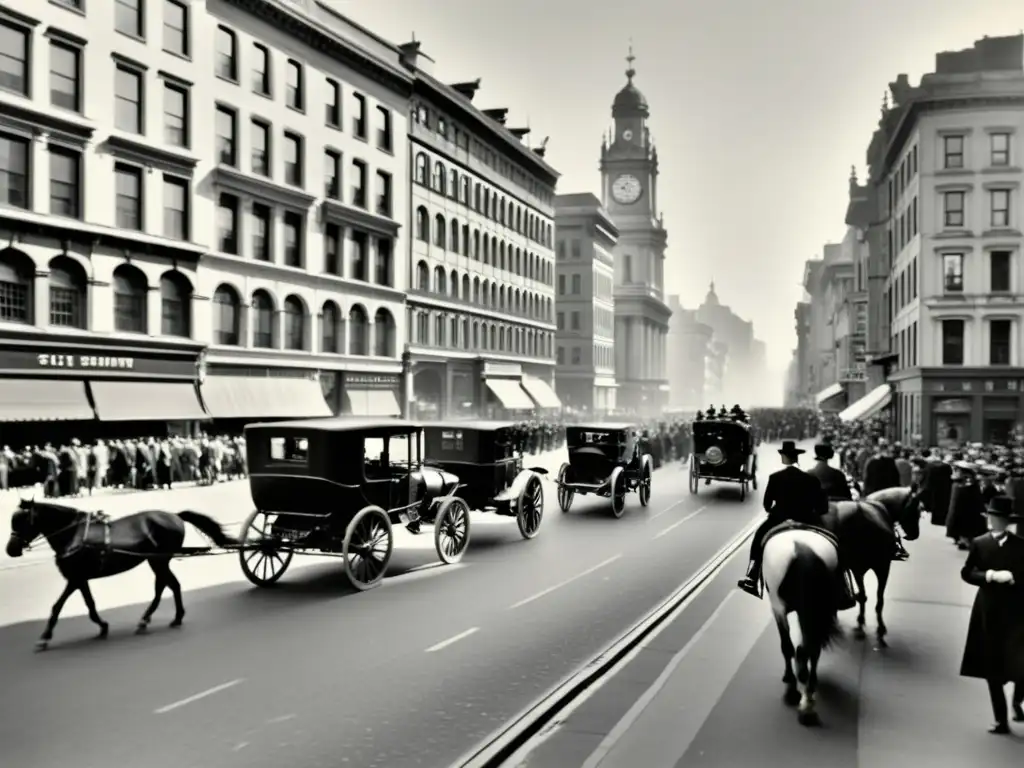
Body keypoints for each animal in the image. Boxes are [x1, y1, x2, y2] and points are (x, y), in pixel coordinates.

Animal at [4, 495, 235, 651]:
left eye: (22, 521)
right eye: (13, 520)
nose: (10, 550)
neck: (73, 534)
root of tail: (174, 516)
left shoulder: (75, 578)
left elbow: (57, 607)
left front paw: (45, 637)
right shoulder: (80, 579)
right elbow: (90, 604)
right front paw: (103, 626)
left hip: (158, 560)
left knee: (165, 586)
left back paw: (150, 619)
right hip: (157, 560)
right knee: (170, 585)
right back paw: (170, 617)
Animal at [765, 524, 843, 729]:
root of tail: (801, 550)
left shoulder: (778, 609)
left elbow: (786, 647)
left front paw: (790, 683)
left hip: (781, 605)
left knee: (795, 649)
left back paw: (798, 697)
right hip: (817, 610)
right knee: (811, 649)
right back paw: (808, 705)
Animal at [819, 487, 925, 651]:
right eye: (916, 511)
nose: (915, 534)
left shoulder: (876, 568)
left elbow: (875, 598)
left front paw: (872, 626)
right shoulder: (868, 568)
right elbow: (869, 597)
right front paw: (866, 624)